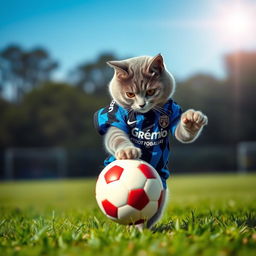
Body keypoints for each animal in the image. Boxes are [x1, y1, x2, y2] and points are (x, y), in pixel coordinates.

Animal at [94, 54, 208, 230]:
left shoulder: (173, 110)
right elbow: (117, 137)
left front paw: (192, 120)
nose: (141, 104)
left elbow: (183, 133)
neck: (146, 116)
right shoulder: (113, 116)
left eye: (150, 91)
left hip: (162, 193)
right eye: (130, 94)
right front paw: (128, 151)